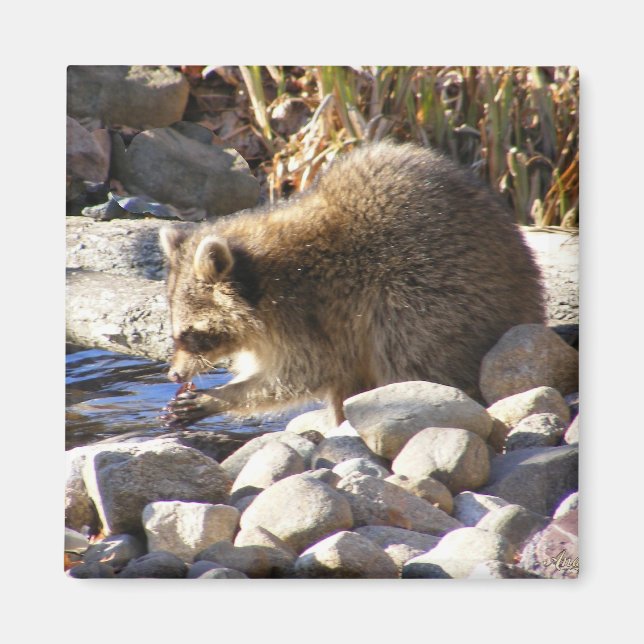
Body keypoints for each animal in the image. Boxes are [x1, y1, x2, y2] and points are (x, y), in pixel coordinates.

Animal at [160, 141, 544, 427]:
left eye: (191, 335)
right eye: (176, 334)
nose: (174, 375)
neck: (259, 278)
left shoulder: (304, 312)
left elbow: (302, 374)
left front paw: (222, 395)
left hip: (432, 293)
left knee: (410, 354)